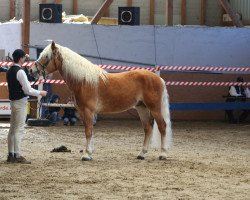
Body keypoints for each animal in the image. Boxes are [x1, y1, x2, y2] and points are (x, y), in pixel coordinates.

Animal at [29, 41, 173, 161]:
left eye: (46, 56)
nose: (31, 70)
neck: (83, 81)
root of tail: (158, 79)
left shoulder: (88, 111)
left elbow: (88, 131)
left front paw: (86, 155)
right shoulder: (82, 112)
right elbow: (89, 130)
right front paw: (89, 152)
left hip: (154, 108)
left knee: (162, 126)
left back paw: (163, 154)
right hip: (142, 108)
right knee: (148, 128)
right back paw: (141, 154)